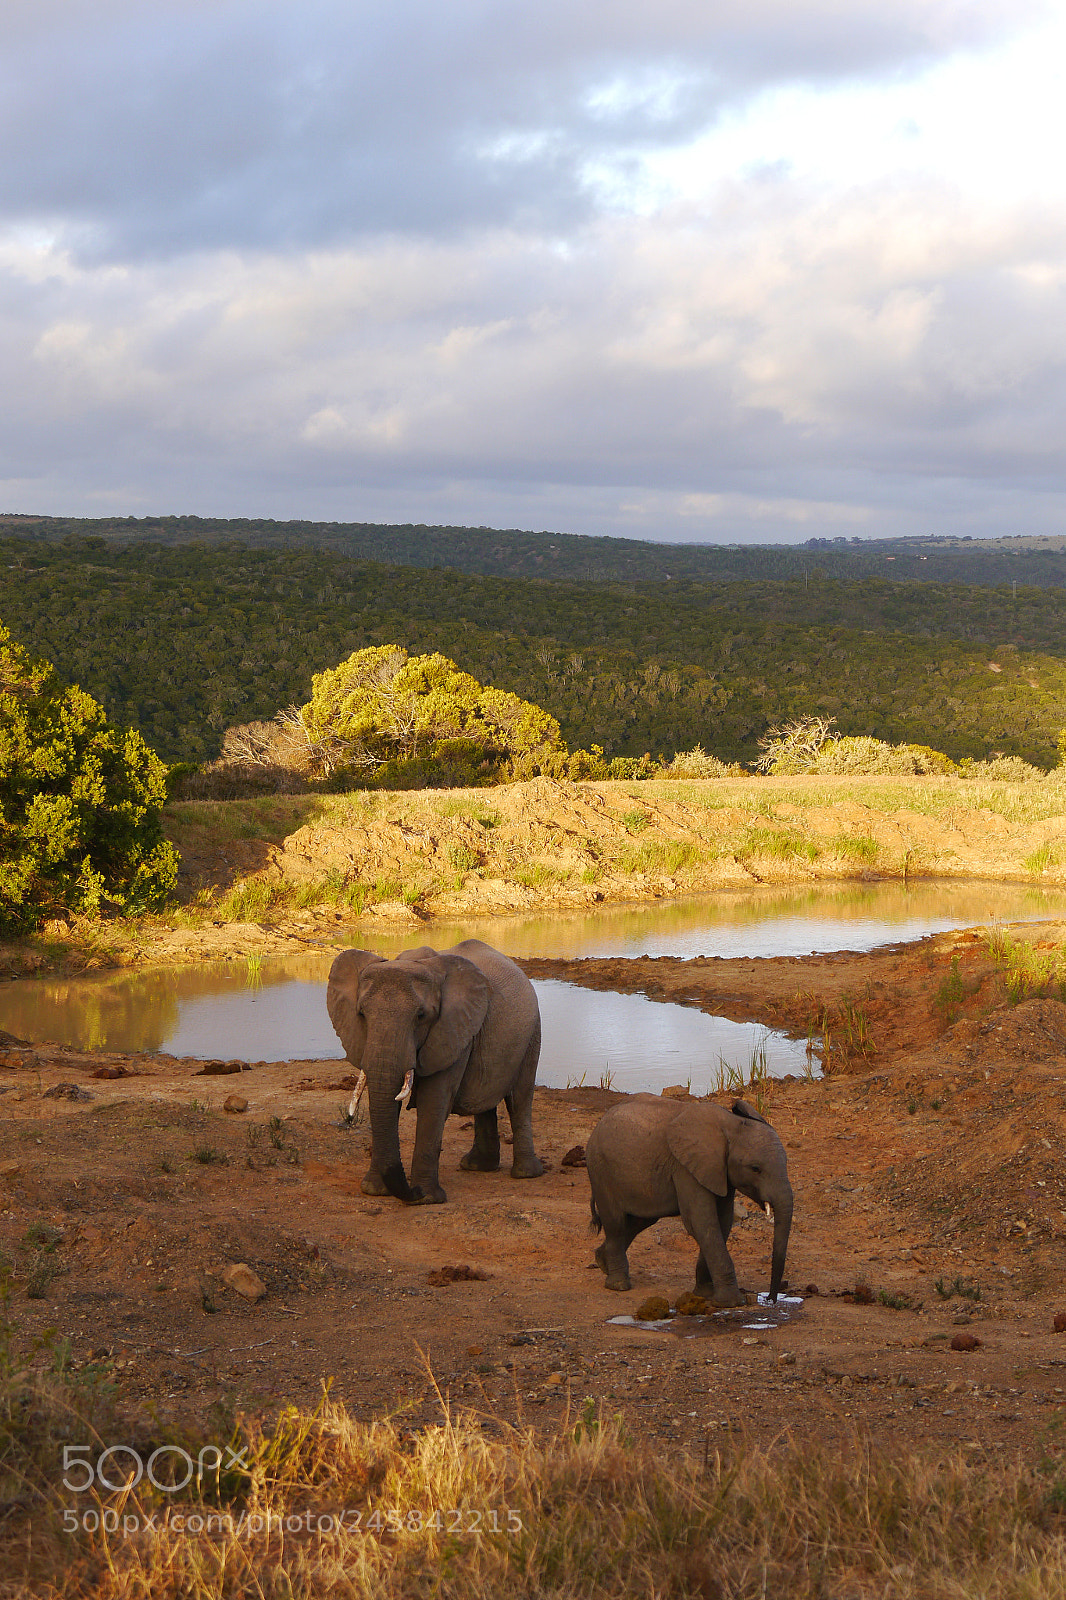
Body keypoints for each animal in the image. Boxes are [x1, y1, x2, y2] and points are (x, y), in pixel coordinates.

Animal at [326, 939, 544, 1204]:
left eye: (421, 1016)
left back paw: (525, 1174)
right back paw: (477, 1166)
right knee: (486, 1102)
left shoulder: (452, 1029)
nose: (412, 1191)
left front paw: (425, 1198)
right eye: (361, 1014)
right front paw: (375, 1191)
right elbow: (387, 1100)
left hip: (532, 1033)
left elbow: (434, 1100)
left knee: (519, 1099)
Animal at [586, 1095, 793, 1306]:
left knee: (640, 1221)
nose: (770, 1299)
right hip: (600, 1168)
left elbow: (722, 1222)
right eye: (755, 1168)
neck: (730, 1125)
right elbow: (701, 1222)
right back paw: (618, 1285)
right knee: (616, 1223)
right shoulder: (685, 1168)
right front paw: (731, 1302)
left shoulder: (720, 1172)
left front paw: (705, 1294)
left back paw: (602, 1261)